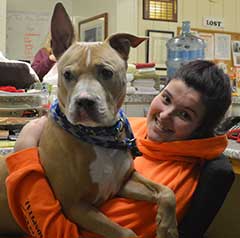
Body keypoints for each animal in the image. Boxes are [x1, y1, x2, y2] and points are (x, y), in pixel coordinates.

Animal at [0, 2, 176, 238]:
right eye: (67, 74)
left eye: (106, 72)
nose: (84, 101)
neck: (100, 136)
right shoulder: (76, 207)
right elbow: (127, 233)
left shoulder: (123, 182)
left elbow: (166, 191)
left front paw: (168, 225)